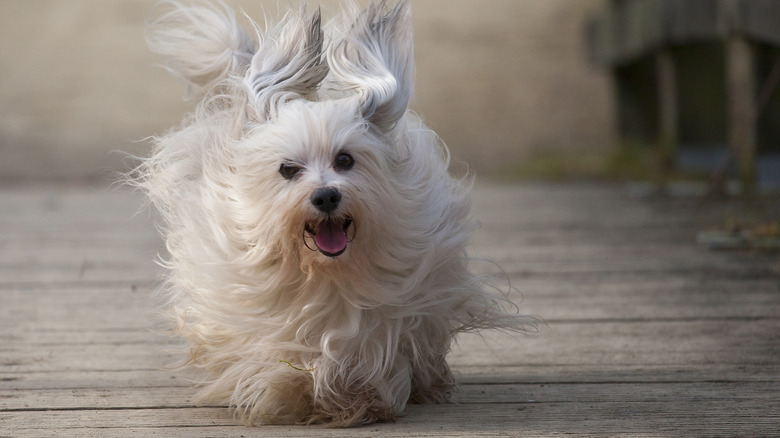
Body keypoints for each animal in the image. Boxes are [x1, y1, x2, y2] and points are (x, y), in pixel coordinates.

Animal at [136, 0, 536, 426]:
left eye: (344, 159)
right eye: (288, 169)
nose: (326, 196)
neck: (325, 273)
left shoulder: (390, 307)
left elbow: (368, 348)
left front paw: (358, 397)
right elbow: (274, 353)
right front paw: (286, 392)